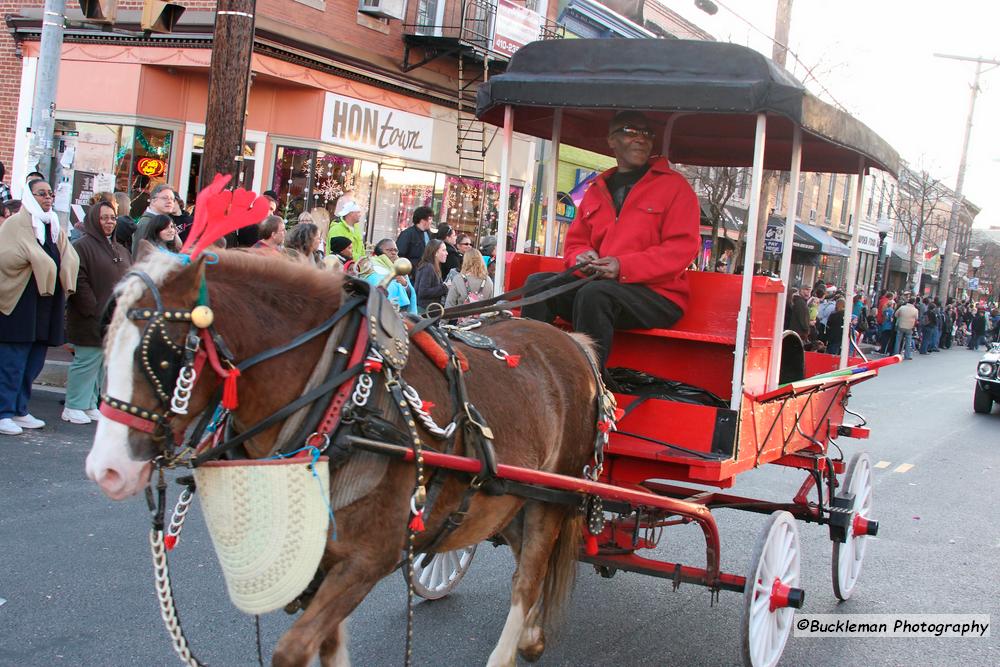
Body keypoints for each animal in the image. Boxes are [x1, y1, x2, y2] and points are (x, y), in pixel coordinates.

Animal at [86, 250, 600, 667]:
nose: (104, 470)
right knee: (523, 560)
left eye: (161, 354)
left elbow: (292, 650)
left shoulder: (369, 558)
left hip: (552, 498)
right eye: (106, 341)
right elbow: (326, 647)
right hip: (508, 498)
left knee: (528, 578)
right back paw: (532, 636)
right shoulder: (325, 559)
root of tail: (574, 344)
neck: (339, 397)